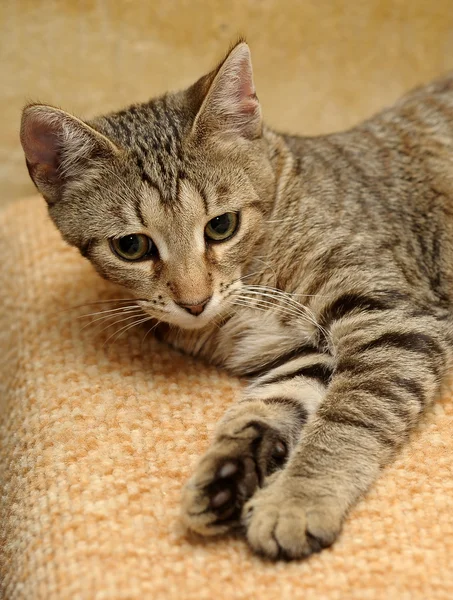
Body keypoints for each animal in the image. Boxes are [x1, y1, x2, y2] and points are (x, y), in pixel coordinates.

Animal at [20, 43, 452, 564]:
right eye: (132, 247)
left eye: (221, 226)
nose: (194, 301)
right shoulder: (301, 355)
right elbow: (269, 405)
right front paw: (231, 472)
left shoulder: (391, 318)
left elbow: (347, 419)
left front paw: (296, 498)